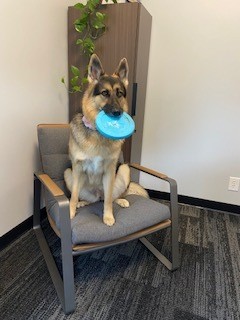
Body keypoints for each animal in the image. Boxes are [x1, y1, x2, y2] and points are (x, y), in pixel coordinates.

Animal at [63, 54, 147, 225]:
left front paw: (108, 216)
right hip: (68, 173)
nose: (118, 113)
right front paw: (71, 212)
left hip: (123, 169)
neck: (97, 133)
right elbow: (73, 196)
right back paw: (83, 202)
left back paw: (121, 200)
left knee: (110, 197)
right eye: (105, 93)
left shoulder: (110, 171)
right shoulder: (77, 169)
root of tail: (97, 194)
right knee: (90, 199)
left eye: (119, 93)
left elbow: (108, 200)